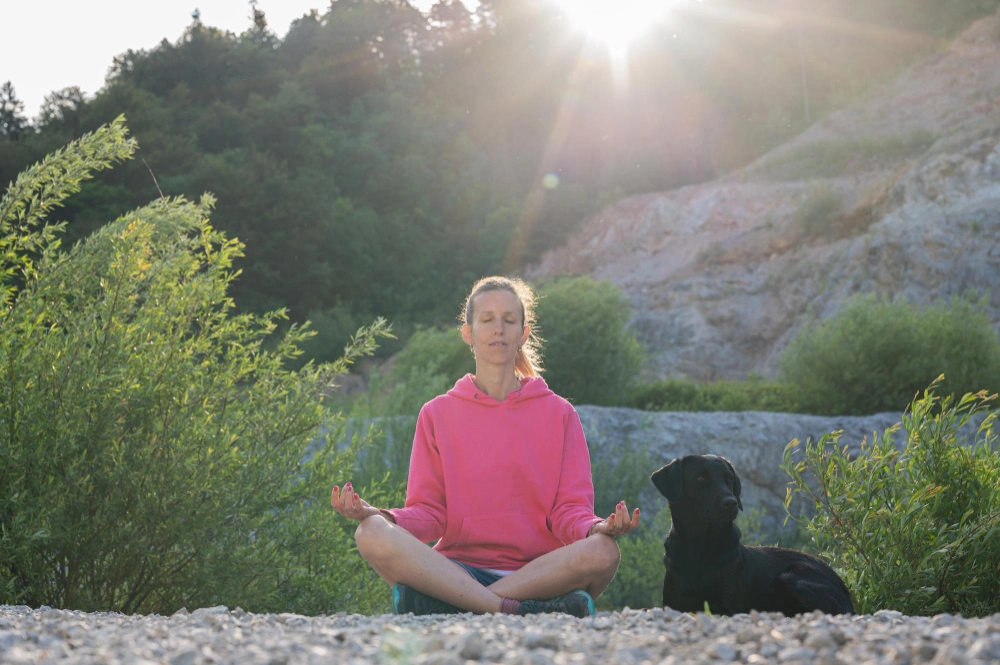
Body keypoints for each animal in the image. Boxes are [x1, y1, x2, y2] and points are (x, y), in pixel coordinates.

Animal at [652, 454, 856, 616]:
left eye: (729, 479)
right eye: (700, 478)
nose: (731, 502)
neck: (700, 547)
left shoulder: (726, 606)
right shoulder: (675, 604)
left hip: (791, 578)